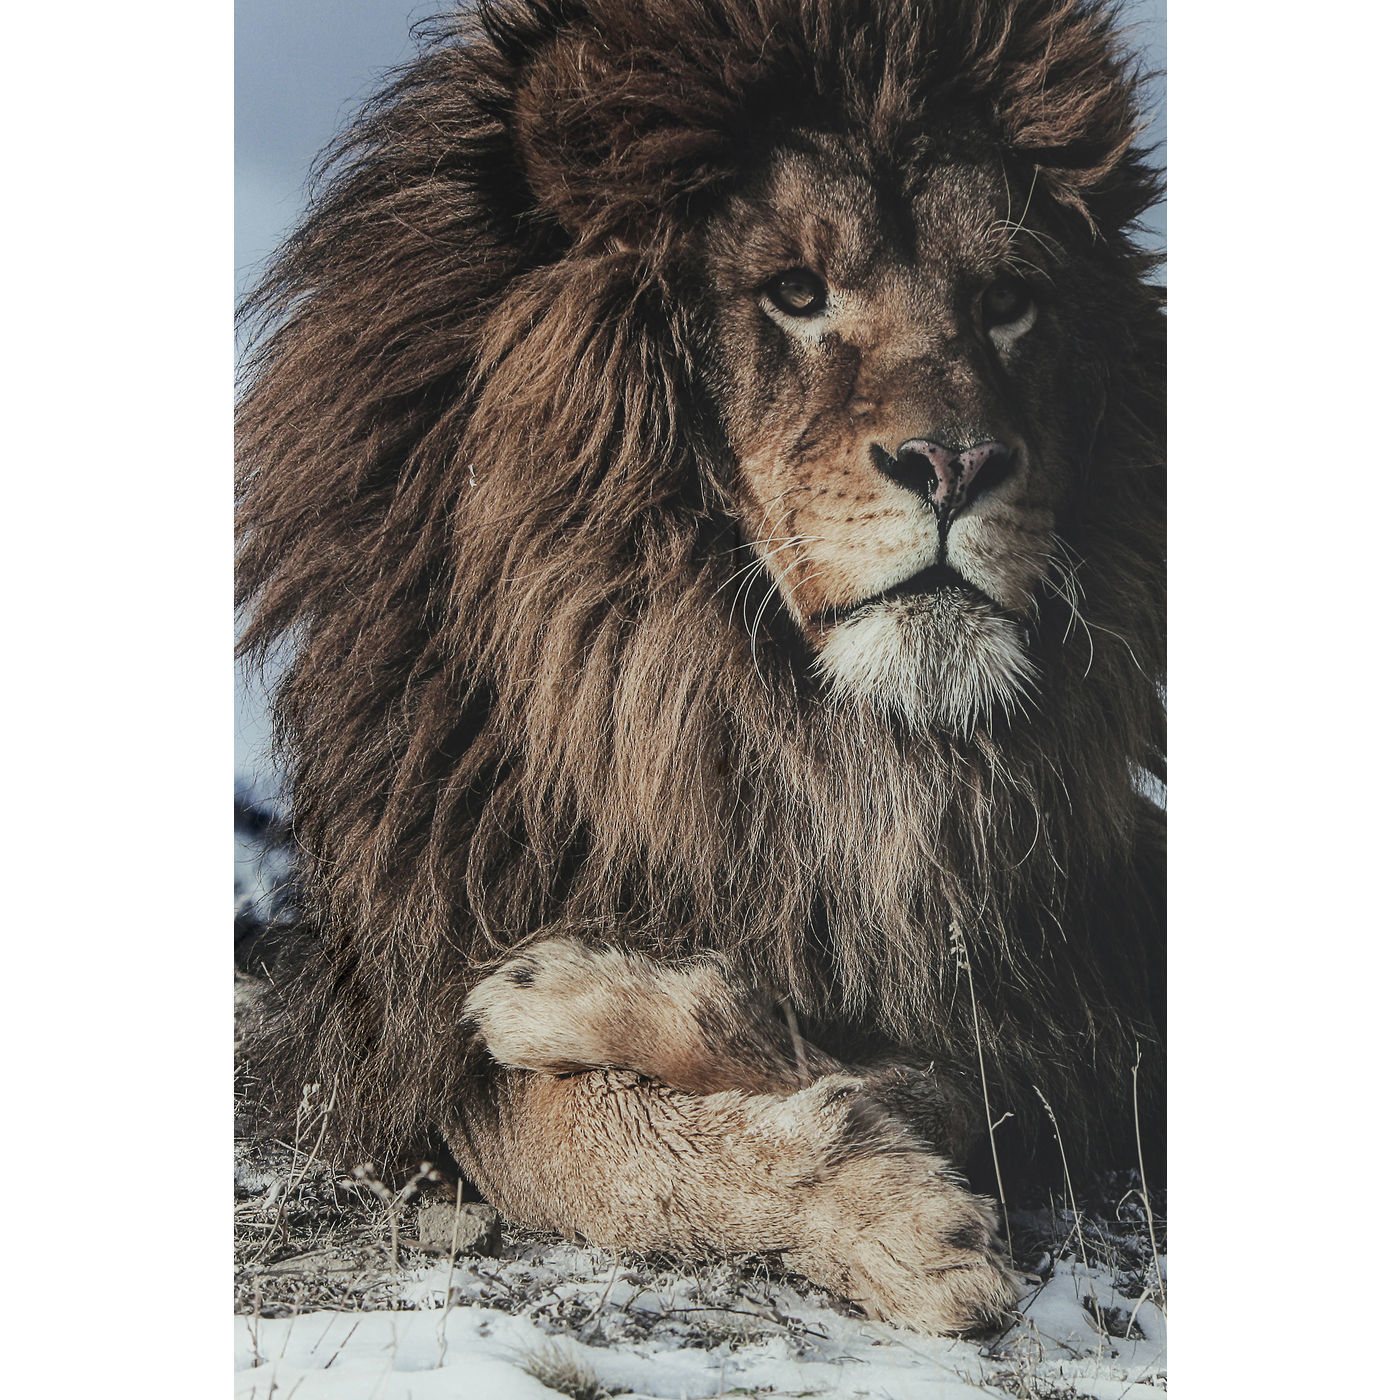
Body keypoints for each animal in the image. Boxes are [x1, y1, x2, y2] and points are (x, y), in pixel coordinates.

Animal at [236, 0, 1165, 1336]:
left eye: (1005, 302)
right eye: (793, 291)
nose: (955, 461)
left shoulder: (1077, 998)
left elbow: (917, 1067)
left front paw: (561, 994)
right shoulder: (398, 1019)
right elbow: (556, 1136)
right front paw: (890, 1213)